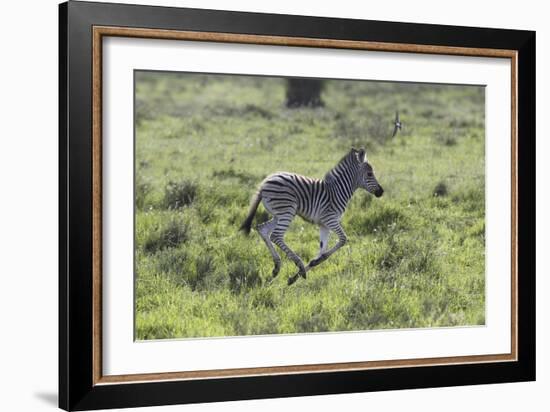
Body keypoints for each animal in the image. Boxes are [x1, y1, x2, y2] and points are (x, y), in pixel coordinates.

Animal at [239, 148, 386, 286]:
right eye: (369, 174)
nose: (381, 192)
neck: (338, 191)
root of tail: (265, 182)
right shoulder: (330, 219)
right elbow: (343, 239)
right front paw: (304, 269)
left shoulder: (324, 225)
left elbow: (322, 250)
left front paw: (298, 275)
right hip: (287, 211)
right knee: (276, 236)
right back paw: (298, 264)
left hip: (278, 215)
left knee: (262, 229)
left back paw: (277, 267)